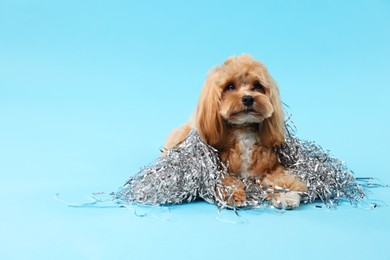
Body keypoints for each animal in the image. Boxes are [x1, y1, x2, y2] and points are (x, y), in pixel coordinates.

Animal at [163, 54, 306, 209]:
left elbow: (279, 177)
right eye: (230, 86)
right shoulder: (215, 170)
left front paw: (286, 194)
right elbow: (225, 180)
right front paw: (233, 194)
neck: (243, 130)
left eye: (257, 85)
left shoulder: (271, 167)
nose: (248, 98)